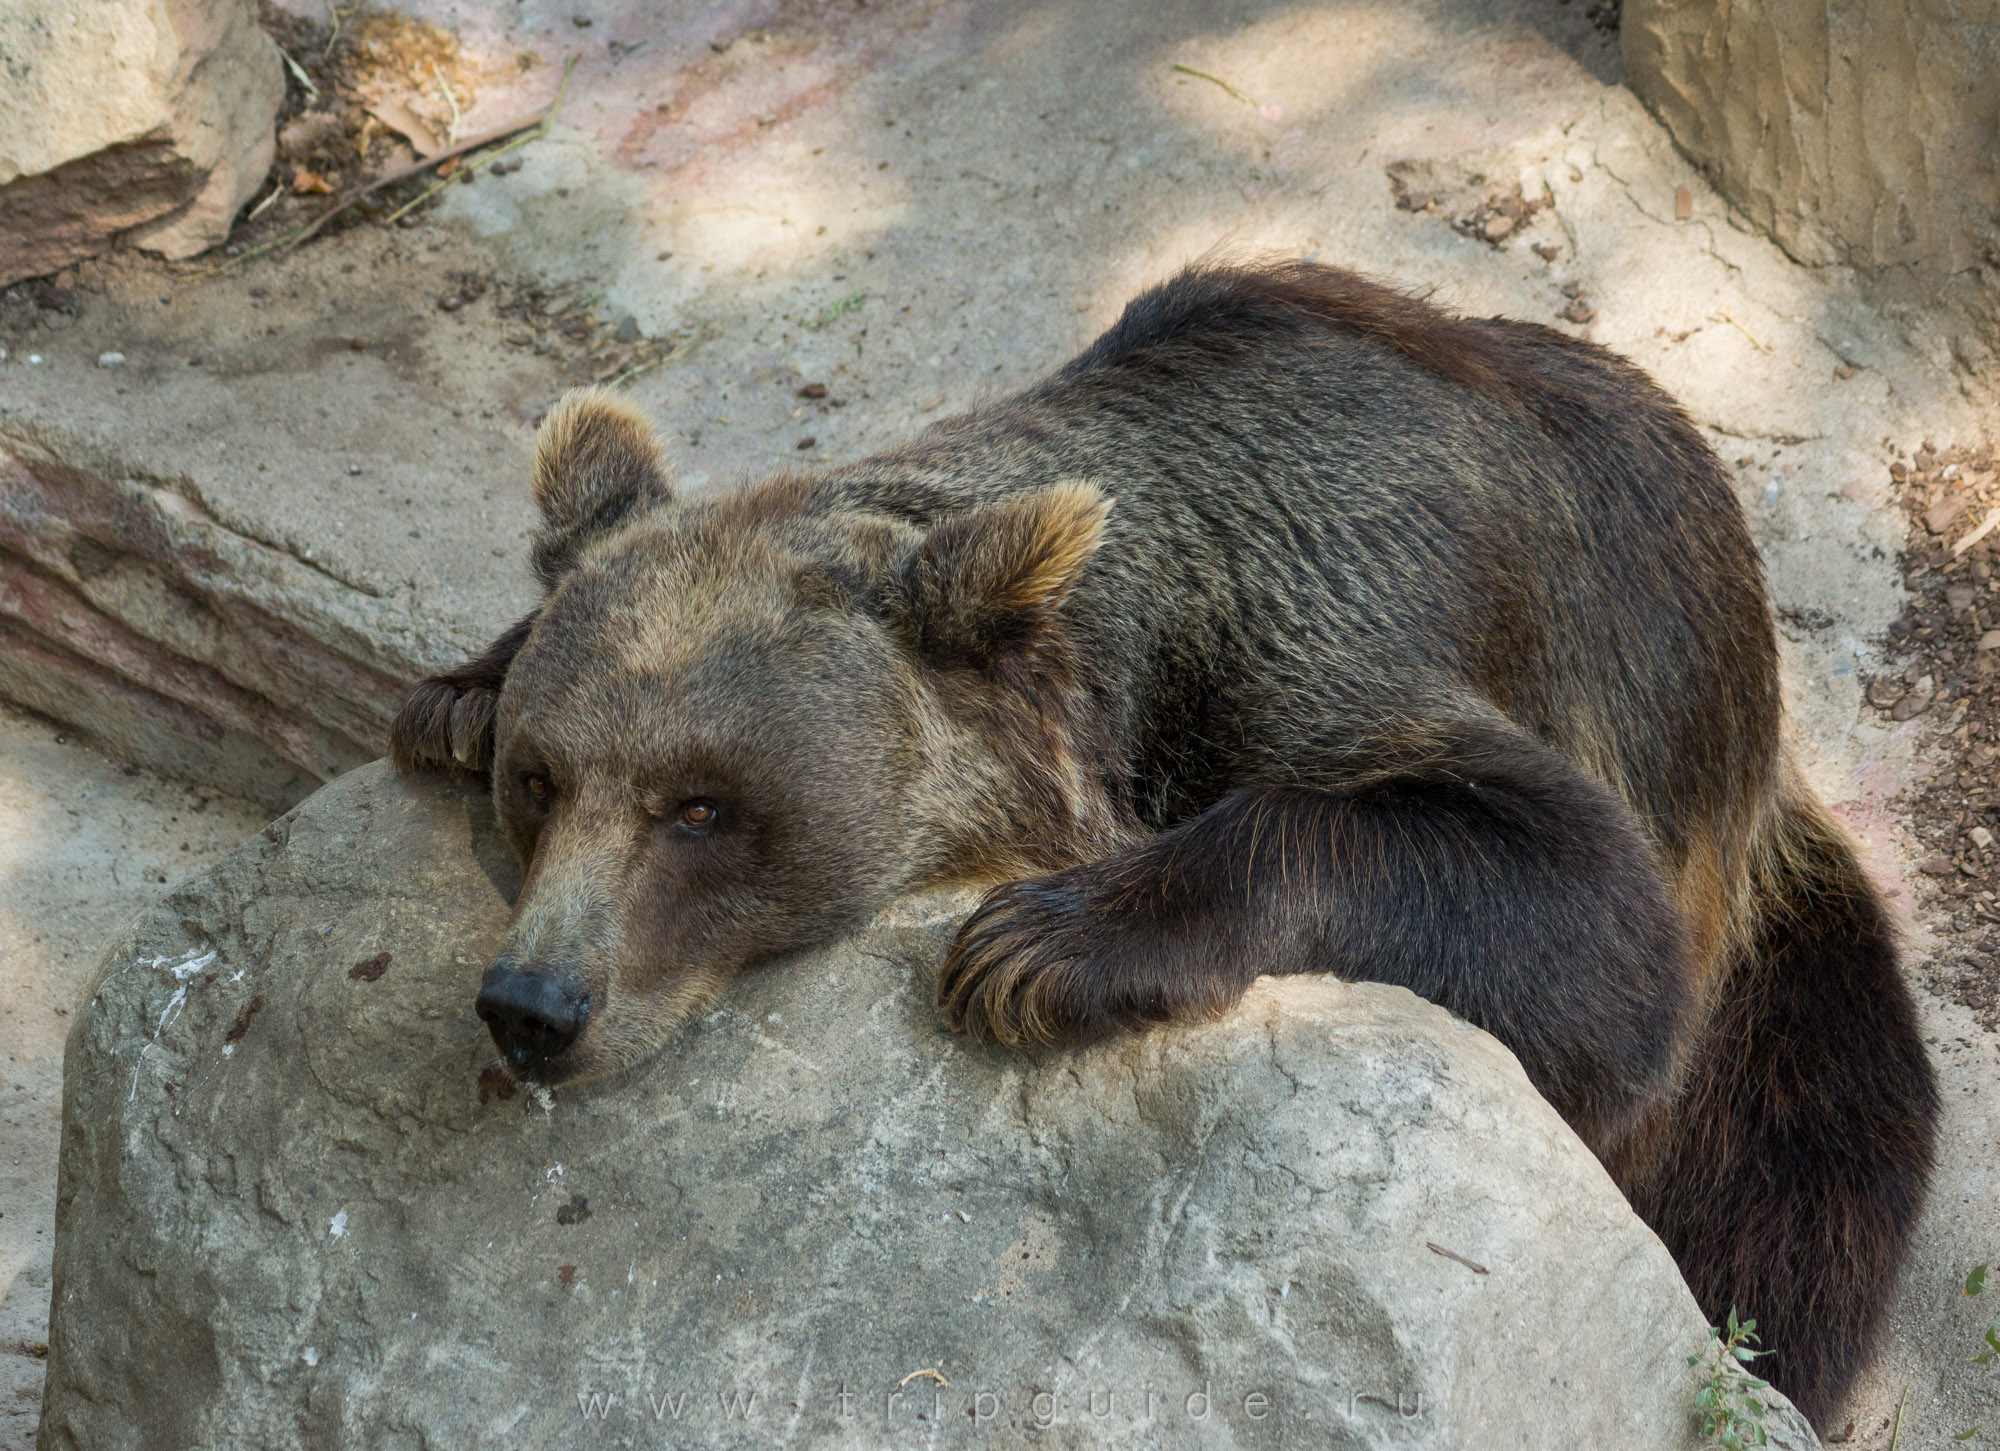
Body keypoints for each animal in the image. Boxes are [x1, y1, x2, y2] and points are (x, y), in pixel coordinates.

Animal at [392, 260, 1937, 1428]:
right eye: (543, 776)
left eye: (702, 807)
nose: (533, 1002)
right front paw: (452, 692)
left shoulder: (1325, 631)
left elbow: (1582, 914)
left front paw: (1037, 943)